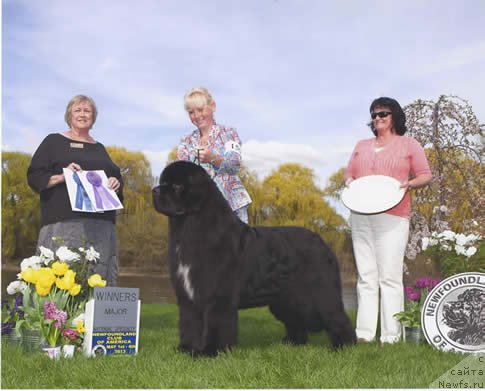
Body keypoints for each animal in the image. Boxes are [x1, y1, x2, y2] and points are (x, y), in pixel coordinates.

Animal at [151, 161, 356, 356]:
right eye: (163, 182)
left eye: (177, 186)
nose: (155, 190)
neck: (191, 225)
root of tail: (322, 242)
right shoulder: (189, 296)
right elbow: (189, 323)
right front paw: (187, 349)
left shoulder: (218, 296)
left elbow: (216, 324)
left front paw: (211, 351)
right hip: (285, 299)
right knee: (296, 320)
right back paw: (292, 342)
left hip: (319, 292)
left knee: (335, 316)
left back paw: (344, 346)